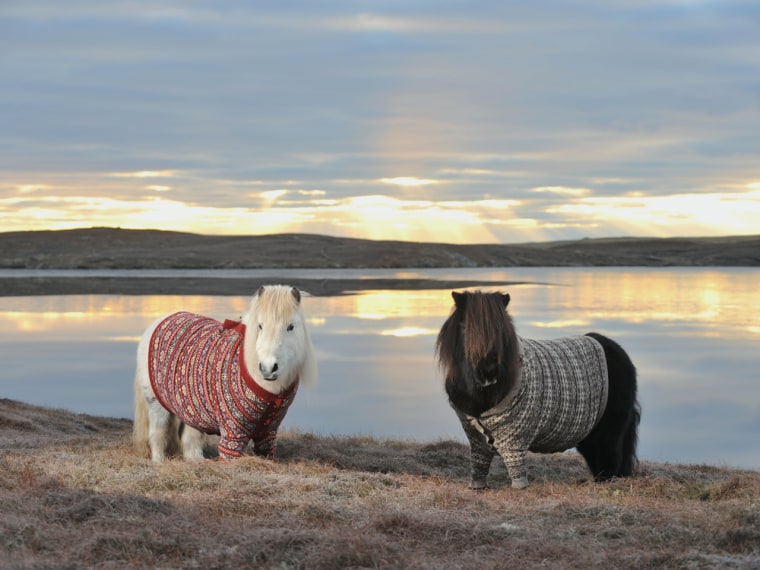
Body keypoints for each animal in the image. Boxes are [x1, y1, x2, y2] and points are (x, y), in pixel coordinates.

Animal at [134, 284, 318, 462]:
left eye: (291, 327)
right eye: (260, 326)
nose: (268, 368)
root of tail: (158, 322)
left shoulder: (268, 434)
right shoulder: (233, 434)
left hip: (192, 411)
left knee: (190, 442)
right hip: (157, 405)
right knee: (158, 436)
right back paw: (159, 462)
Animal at [436, 290, 640, 486]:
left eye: (501, 328)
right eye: (465, 327)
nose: (489, 371)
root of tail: (616, 350)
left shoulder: (514, 442)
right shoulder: (477, 442)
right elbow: (478, 466)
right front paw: (478, 486)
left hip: (609, 430)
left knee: (610, 458)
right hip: (589, 431)